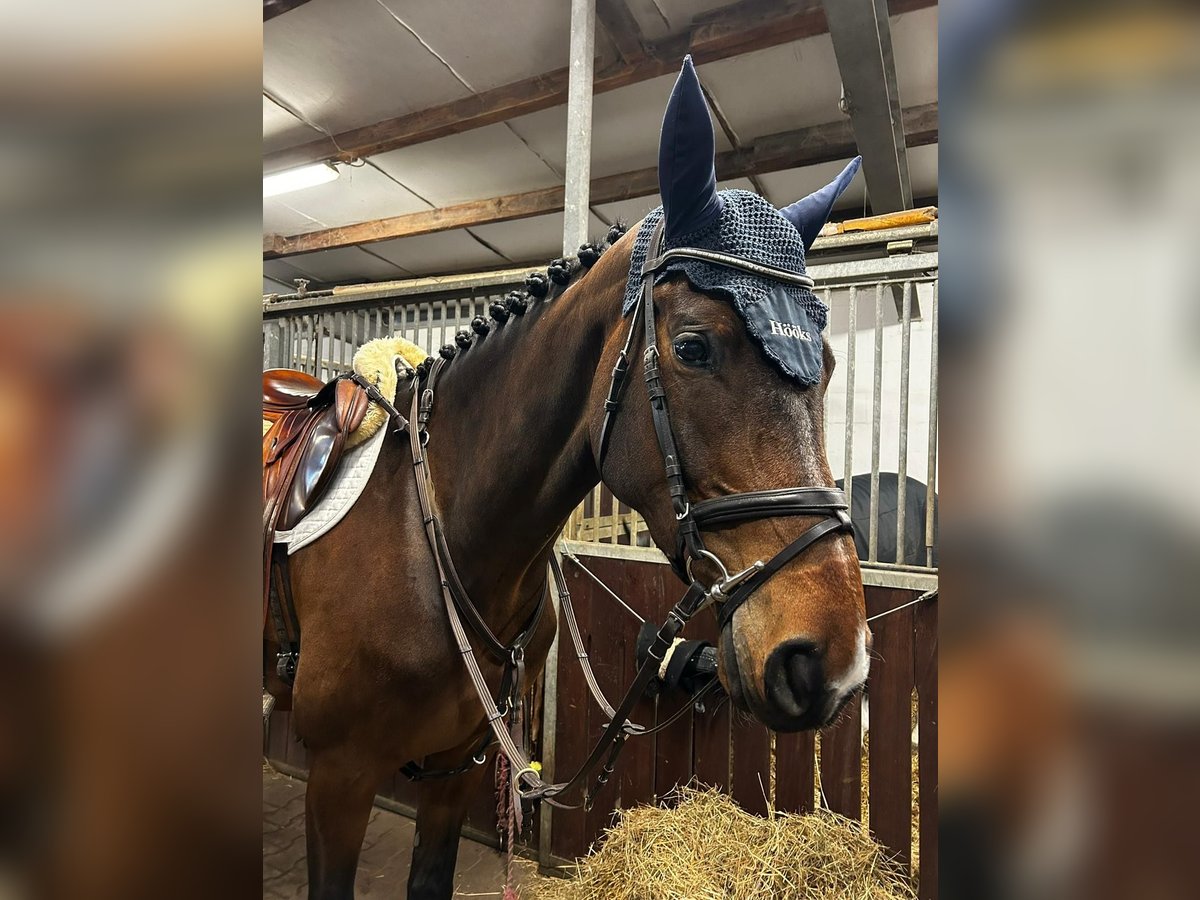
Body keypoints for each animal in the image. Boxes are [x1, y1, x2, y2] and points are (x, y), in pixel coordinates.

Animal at [266, 58, 869, 899]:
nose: (832, 662)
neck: (435, 544)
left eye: (831, 362)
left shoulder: (457, 769)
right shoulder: (338, 779)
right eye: (693, 348)